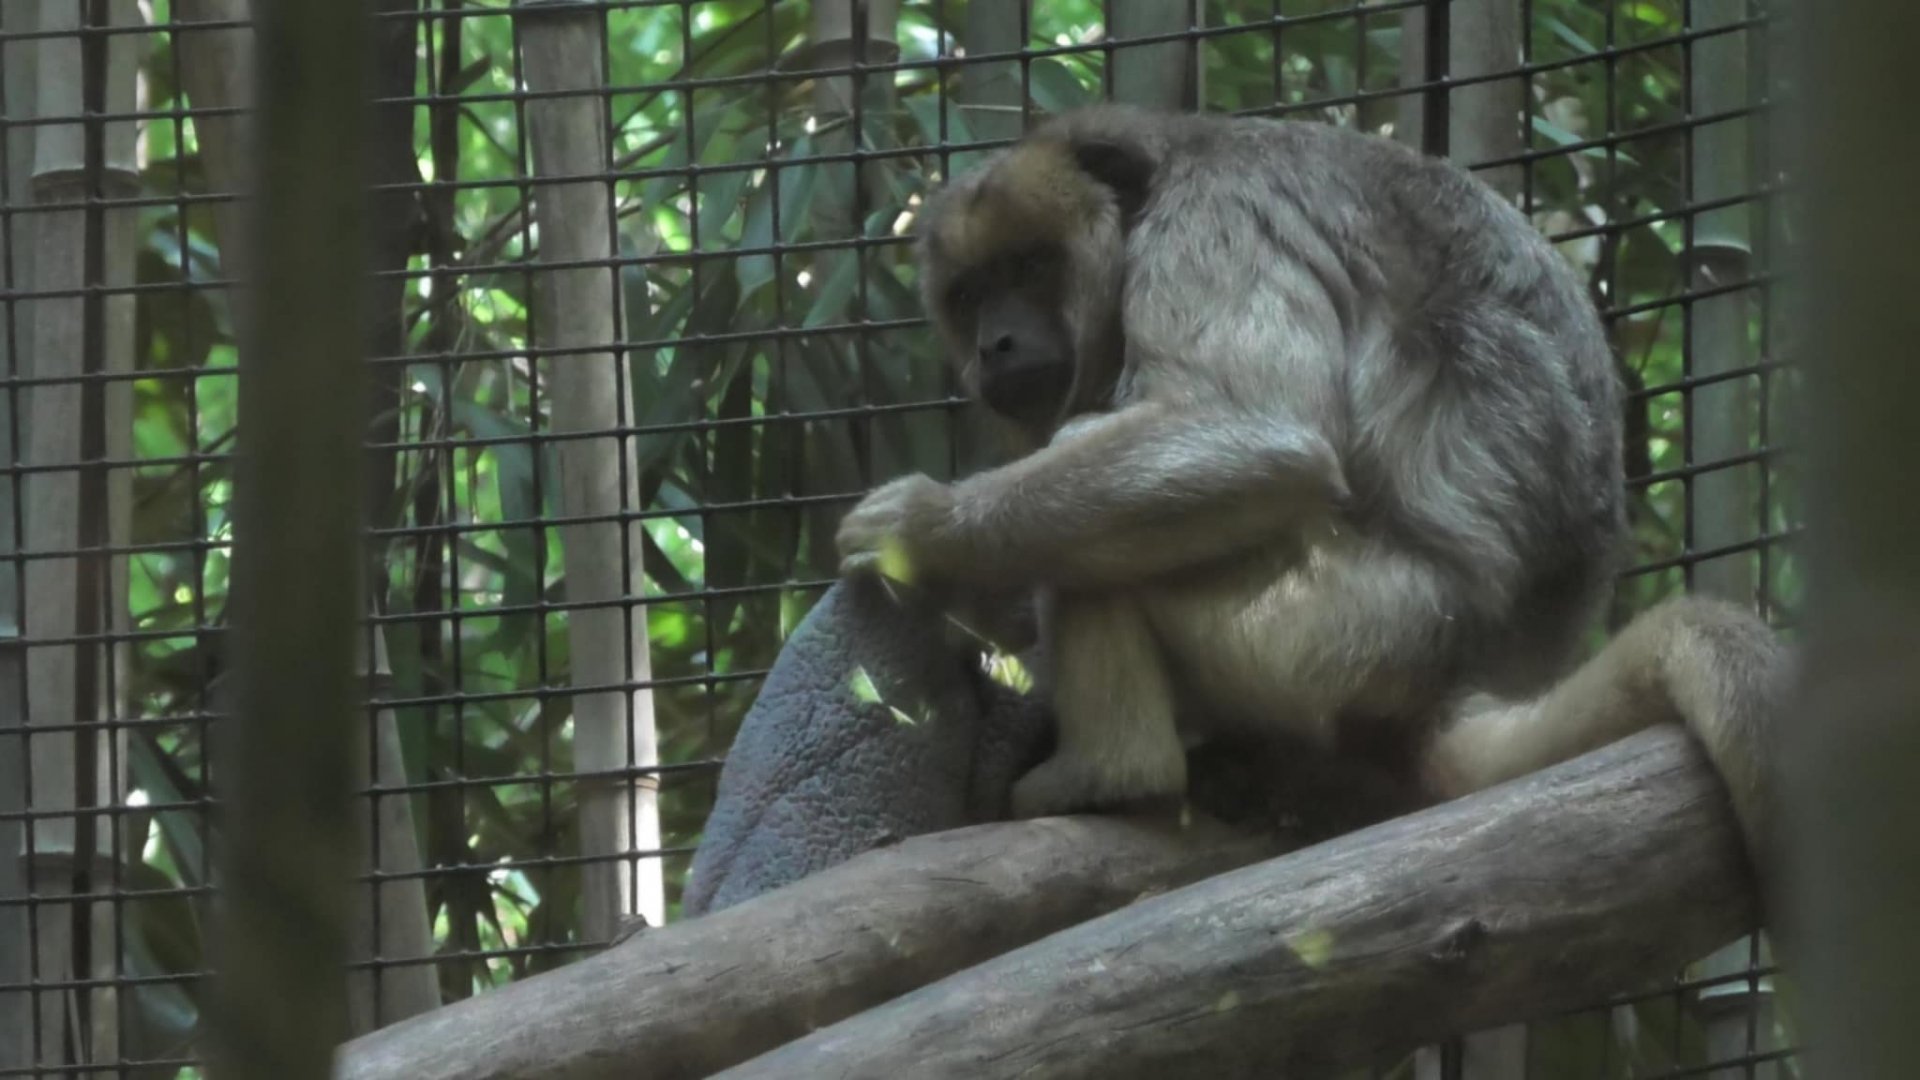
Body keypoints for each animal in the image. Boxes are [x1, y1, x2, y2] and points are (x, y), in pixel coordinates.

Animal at [835, 104, 1782, 878]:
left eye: (1031, 266)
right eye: (971, 292)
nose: (993, 342)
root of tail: (1469, 679)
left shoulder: (1213, 221)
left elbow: (1264, 438)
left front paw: (924, 531)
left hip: (1335, 631)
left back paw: (1111, 773)